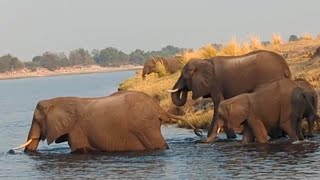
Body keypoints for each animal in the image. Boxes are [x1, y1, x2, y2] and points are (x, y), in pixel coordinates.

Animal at [13, 90, 202, 153]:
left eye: (37, 120)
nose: (10, 151)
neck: (57, 101)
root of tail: (158, 107)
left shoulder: (76, 129)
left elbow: (79, 149)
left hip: (146, 127)